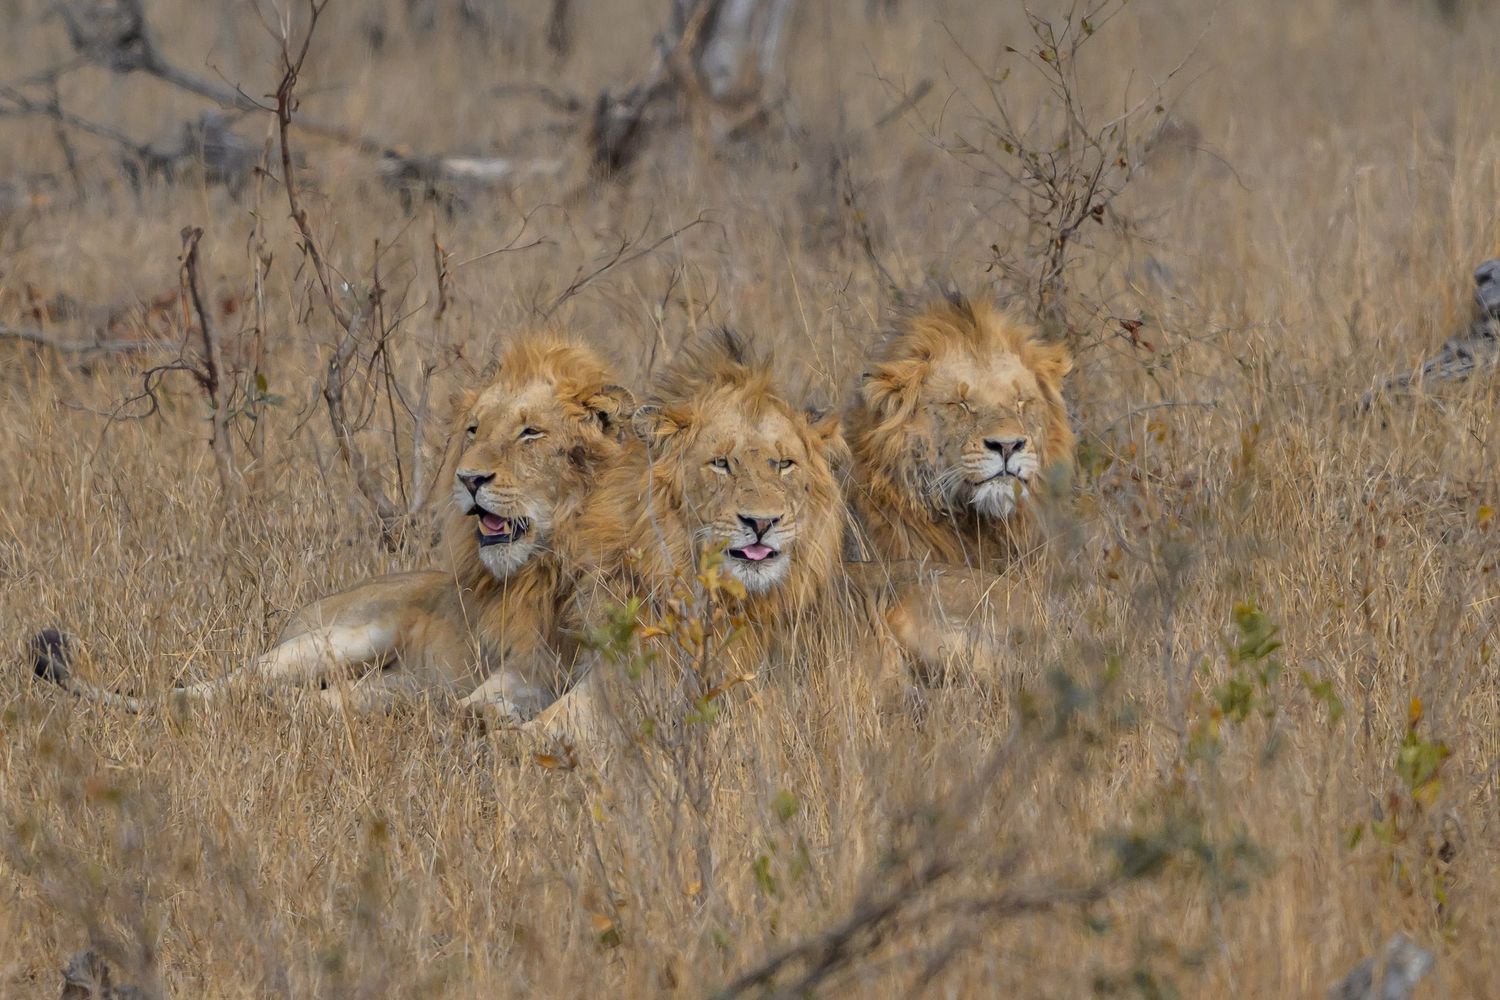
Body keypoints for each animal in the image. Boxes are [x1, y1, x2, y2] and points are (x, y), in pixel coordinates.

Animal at [33, 334, 632, 721]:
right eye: (474, 429)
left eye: (530, 432)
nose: (468, 479)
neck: (553, 562)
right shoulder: (525, 666)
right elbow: (488, 701)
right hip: (334, 640)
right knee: (208, 691)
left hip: (374, 678)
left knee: (344, 699)